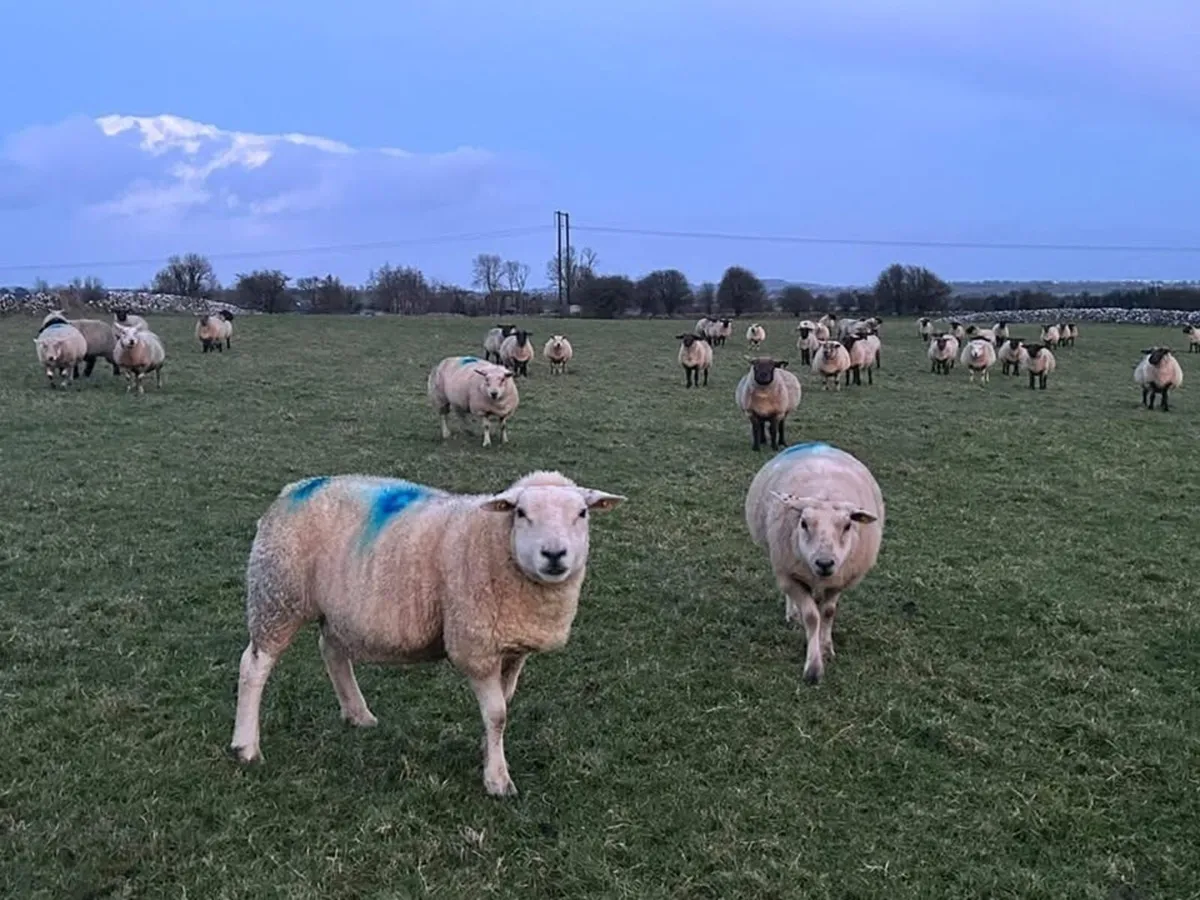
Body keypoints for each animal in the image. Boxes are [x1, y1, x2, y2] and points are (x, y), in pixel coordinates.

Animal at [228, 469, 626, 796]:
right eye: (521, 513)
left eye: (582, 513)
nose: (554, 554)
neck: (495, 543)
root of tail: (294, 488)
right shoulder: (475, 645)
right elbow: (497, 713)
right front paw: (498, 780)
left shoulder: (513, 649)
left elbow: (504, 703)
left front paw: (488, 752)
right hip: (277, 594)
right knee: (254, 666)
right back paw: (246, 747)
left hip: (335, 605)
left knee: (332, 651)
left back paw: (358, 714)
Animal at [744, 441, 884, 684]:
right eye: (803, 523)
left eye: (848, 525)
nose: (825, 563)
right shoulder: (789, 575)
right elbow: (811, 617)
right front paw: (813, 668)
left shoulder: (839, 580)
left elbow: (827, 612)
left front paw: (826, 648)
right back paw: (793, 614)